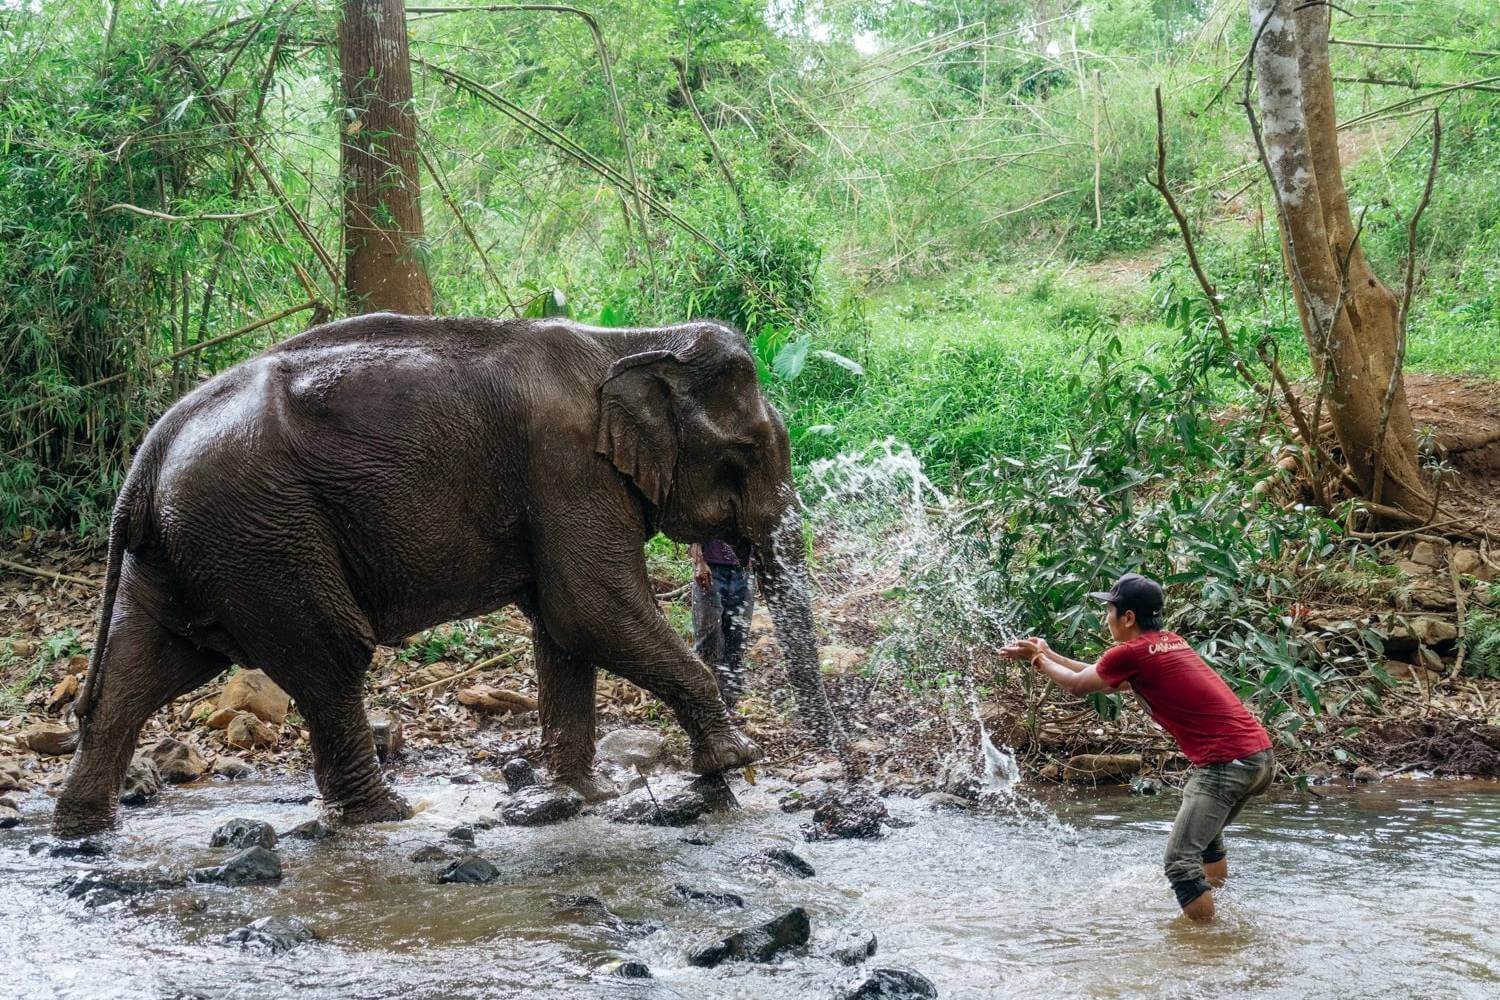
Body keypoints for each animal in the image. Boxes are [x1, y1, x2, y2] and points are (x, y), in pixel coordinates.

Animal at [52, 313, 846, 839]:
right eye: (746, 454)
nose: (837, 762)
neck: (629, 340)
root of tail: (151, 451)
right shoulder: (567, 470)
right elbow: (590, 609)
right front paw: (732, 763)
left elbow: (564, 630)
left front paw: (582, 795)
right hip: (260, 533)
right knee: (329, 654)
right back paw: (388, 815)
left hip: (197, 546)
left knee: (144, 665)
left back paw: (81, 826)